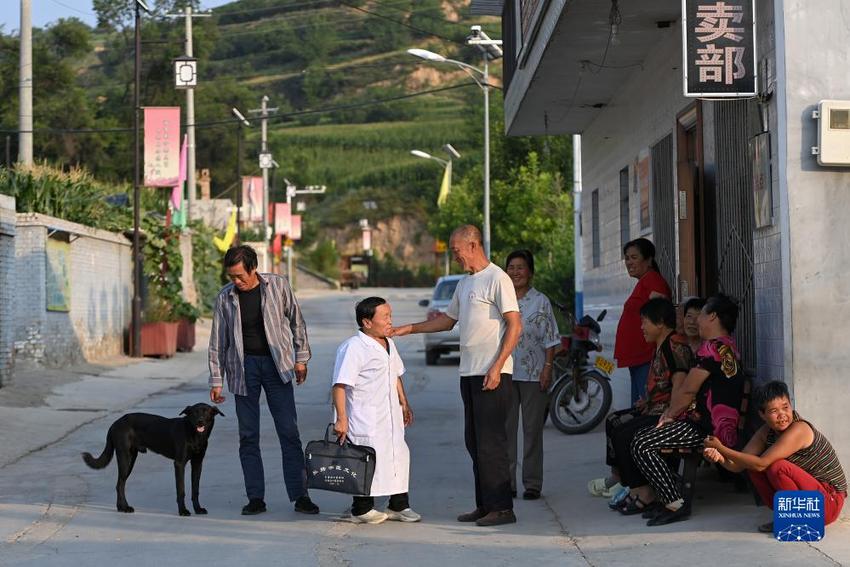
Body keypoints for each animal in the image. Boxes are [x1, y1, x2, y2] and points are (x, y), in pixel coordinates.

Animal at [81, 402, 222, 516]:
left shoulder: (197, 463)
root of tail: (115, 424)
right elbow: (181, 490)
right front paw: (183, 511)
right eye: (194, 413)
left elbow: (195, 489)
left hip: (131, 459)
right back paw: (125, 508)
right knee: (120, 484)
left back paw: (121, 507)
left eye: (206, 412)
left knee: (120, 484)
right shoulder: (179, 464)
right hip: (125, 458)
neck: (195, 435)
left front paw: (198, 509)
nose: (200, 421)